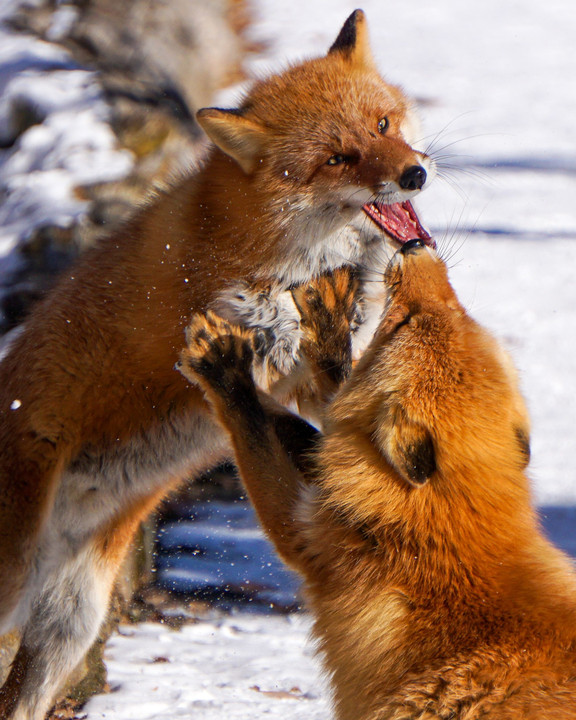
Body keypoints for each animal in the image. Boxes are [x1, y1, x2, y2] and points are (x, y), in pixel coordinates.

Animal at [0, 7, 434, 720]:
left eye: (383, 125)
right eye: (336, 158)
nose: (415, 174)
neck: (278, 257)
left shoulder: (304, 383)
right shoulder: (223, 360)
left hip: (70, 625)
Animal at [182, 242, 576, 720]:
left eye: (402, 322)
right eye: (460, 309)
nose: (415, 246)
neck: (446, 521)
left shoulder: (311, 543)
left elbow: (253, 426)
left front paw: (225, 368)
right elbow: (325, 405)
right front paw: (327, 325)